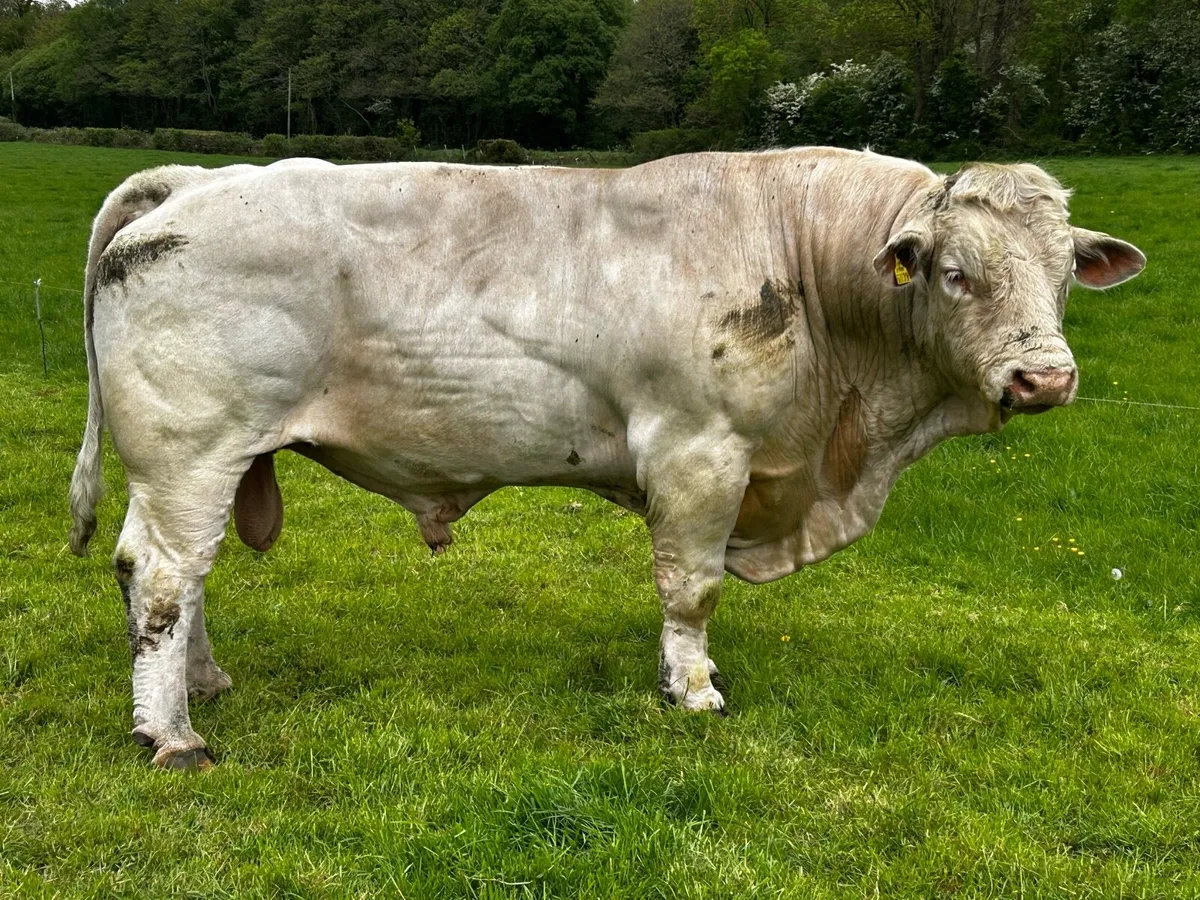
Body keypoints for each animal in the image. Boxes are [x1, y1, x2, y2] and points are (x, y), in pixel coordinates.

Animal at [68, 148, 1145, 769]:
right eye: (957, 273)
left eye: (1063, 273)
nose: (1045, 377)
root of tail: (199, 181)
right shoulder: (700, 452)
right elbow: (690, 589)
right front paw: (693, 690)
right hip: (191, 449)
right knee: (161, 577)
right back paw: (172, 734)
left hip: (206, 463)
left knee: (185, 579)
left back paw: (203, 682)